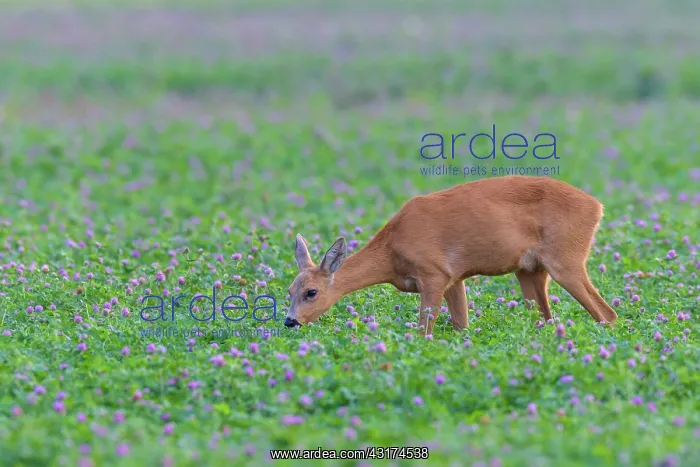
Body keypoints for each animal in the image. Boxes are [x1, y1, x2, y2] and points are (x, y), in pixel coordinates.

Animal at [284, 175, 618, 336]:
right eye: (289, 290)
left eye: (312, 292)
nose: (290, 321)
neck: (392, 253)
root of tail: (598, 207)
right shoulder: (454, 278)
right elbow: (462, 327)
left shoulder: (433, 273)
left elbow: (424, 330)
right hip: (529, 270)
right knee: (546, 319)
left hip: (566, 258)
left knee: (607, 314)